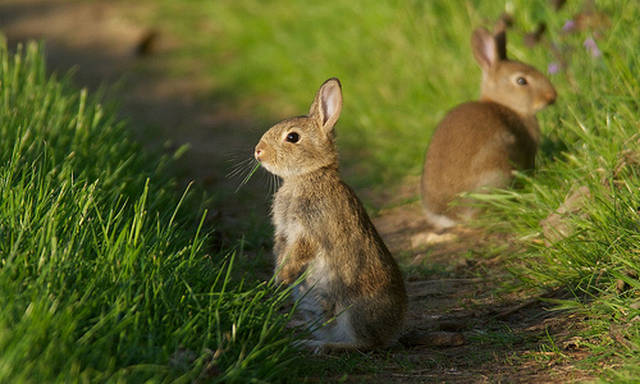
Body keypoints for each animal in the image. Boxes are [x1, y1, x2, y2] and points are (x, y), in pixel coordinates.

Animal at [254, 76, 408, 352]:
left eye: (292, 137)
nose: (257, 151)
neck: (308, 176)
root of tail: (393, 333)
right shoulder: (283, 232)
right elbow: (280, 250)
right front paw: (276, 280)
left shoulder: (309, 230)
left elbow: (299, 251)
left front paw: (281, 279)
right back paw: (306, 341)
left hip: (353, 311)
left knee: (365, 343)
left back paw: (322, 347)